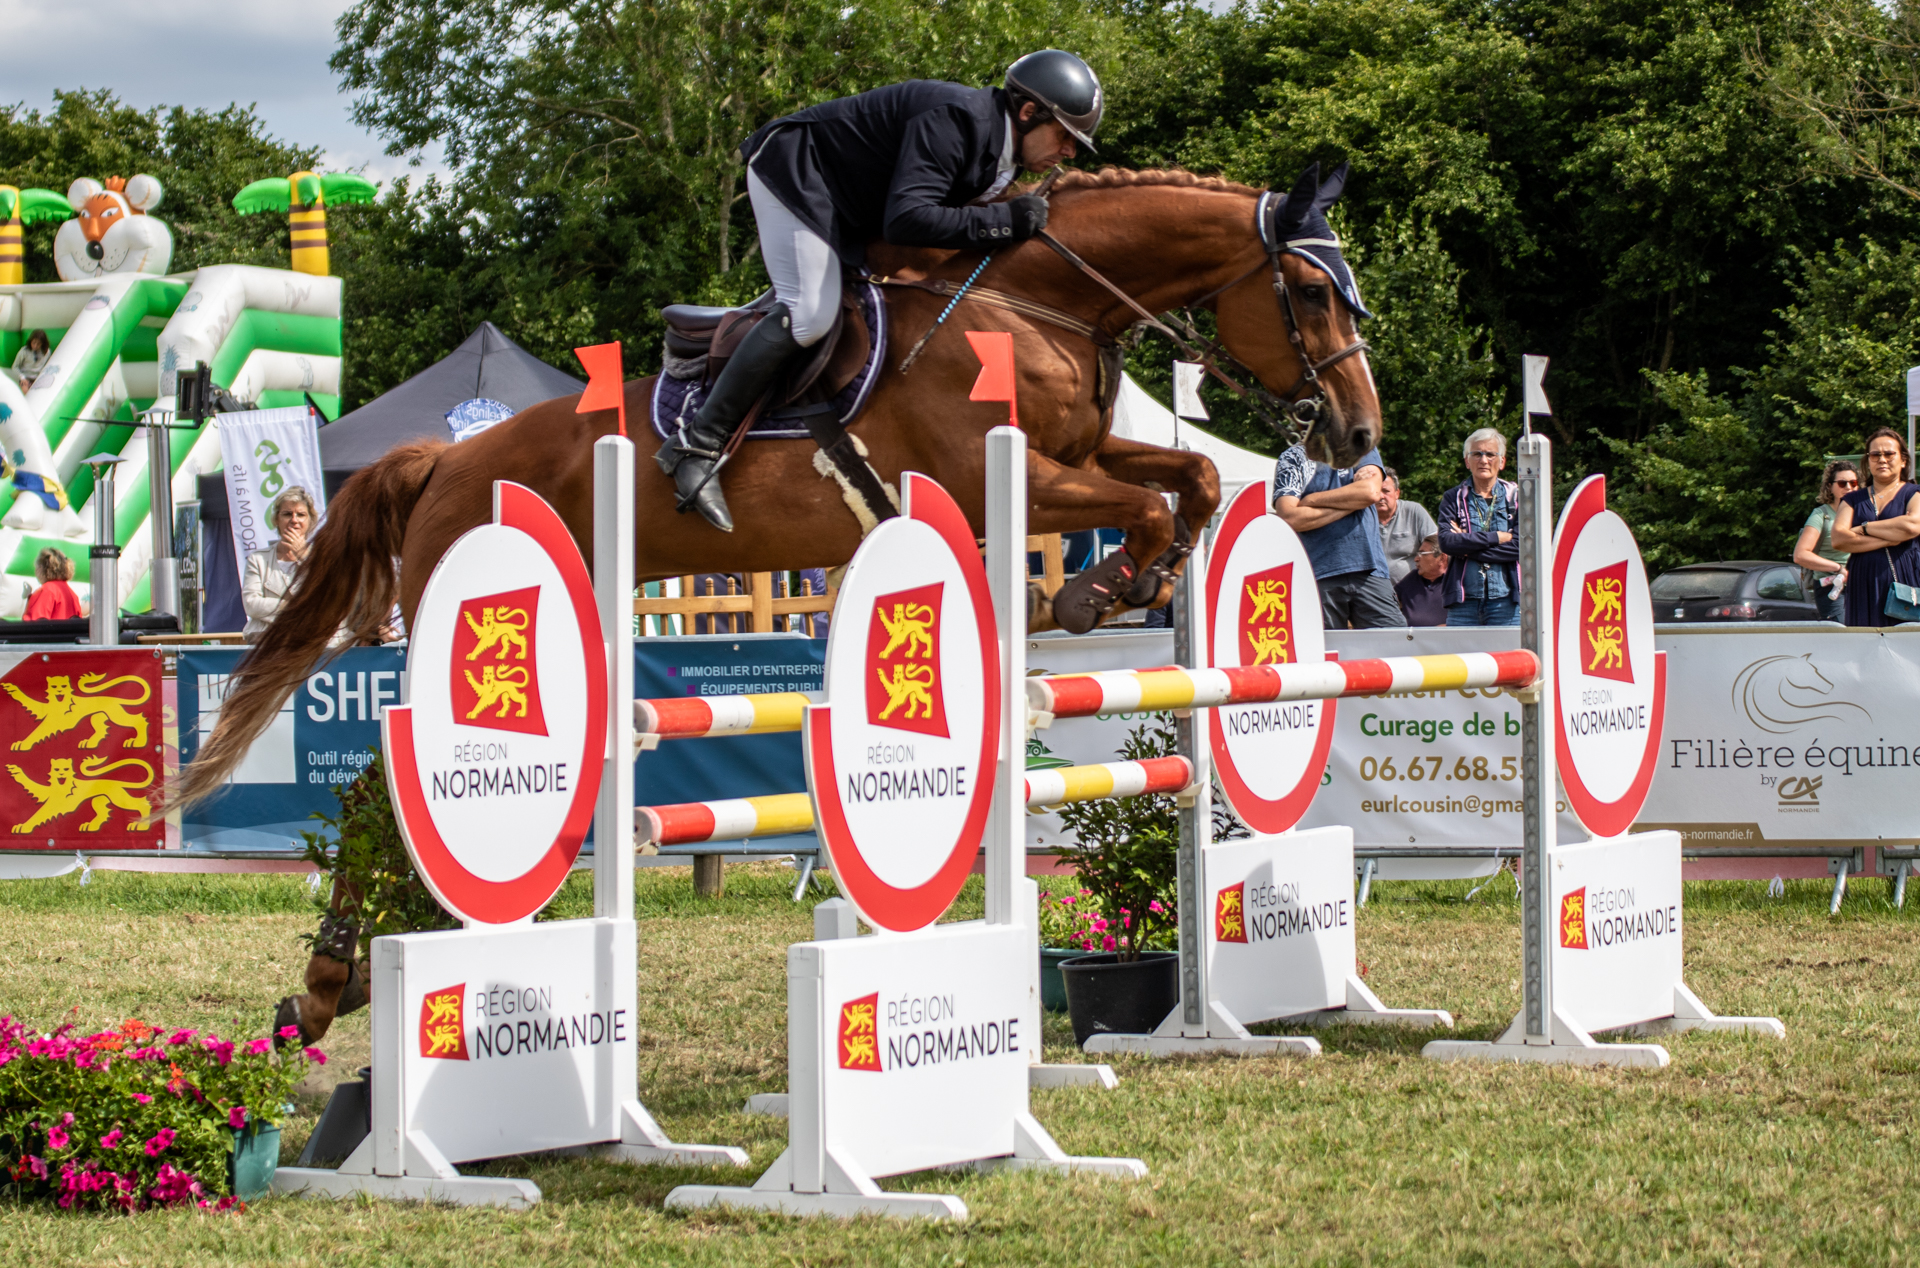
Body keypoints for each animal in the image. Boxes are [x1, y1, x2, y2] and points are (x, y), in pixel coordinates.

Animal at [186, 163, 1381, 1045]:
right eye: (1315, 291)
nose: (1357, 432)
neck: (1040, 304)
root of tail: (442, 457)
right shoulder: (1010, 473)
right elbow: (1142, 500)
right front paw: (1092, 590)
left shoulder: (1084, 455)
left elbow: (1190, 479)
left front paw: (1127, 585)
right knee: (377, 791)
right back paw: (329, 985)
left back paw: (397, 965)